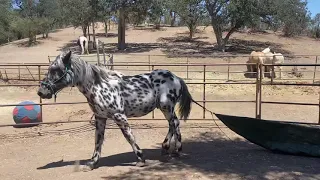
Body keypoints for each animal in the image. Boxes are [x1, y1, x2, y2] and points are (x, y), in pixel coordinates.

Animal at [37, 51, 201, 170]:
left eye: (55, 69)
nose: (41, 92)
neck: (98, 87)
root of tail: (176, 78)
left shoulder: (119, 116)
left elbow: (129, 137)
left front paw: (140, 159)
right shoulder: (100, 118)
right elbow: (98, 140)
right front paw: (92, 163)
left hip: (166, 106)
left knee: (175, 123)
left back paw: (175, 150)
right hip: (165, 108)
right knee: (173, 124)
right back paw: (169, 149)